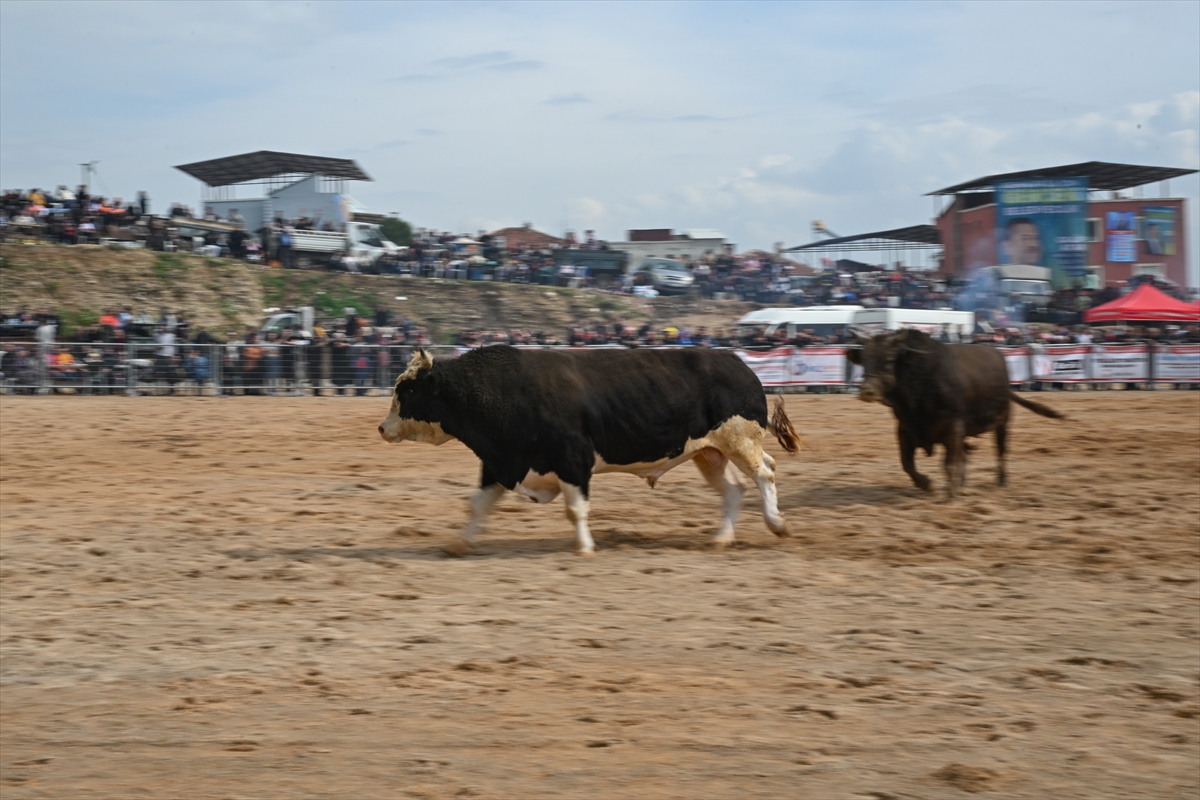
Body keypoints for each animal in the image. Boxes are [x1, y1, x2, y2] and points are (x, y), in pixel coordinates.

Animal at [378, 346, 802, 555]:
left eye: (407, 390)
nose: (382, 427)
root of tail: (741, 366)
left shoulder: (573, 460)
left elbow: (574, 509)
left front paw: (584, 547)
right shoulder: (502, 463)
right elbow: (477, 505)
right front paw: (459, 544)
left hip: (738, 441)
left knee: (764, 472)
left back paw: (777, 524)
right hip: (709, 454)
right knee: (735, 489)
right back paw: (721, 539)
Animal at [846, 328, 1063, 498]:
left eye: (889, 360)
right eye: (864, 360)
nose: (867, 391)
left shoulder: (954, 427)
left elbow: (949, 464)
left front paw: (950, 493)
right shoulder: (905, 430)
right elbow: (907, 464)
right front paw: (928, 484)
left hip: (1002, 422)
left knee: (1001, 451)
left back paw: (1001, 481)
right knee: (965, 455)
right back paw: (964, 484)